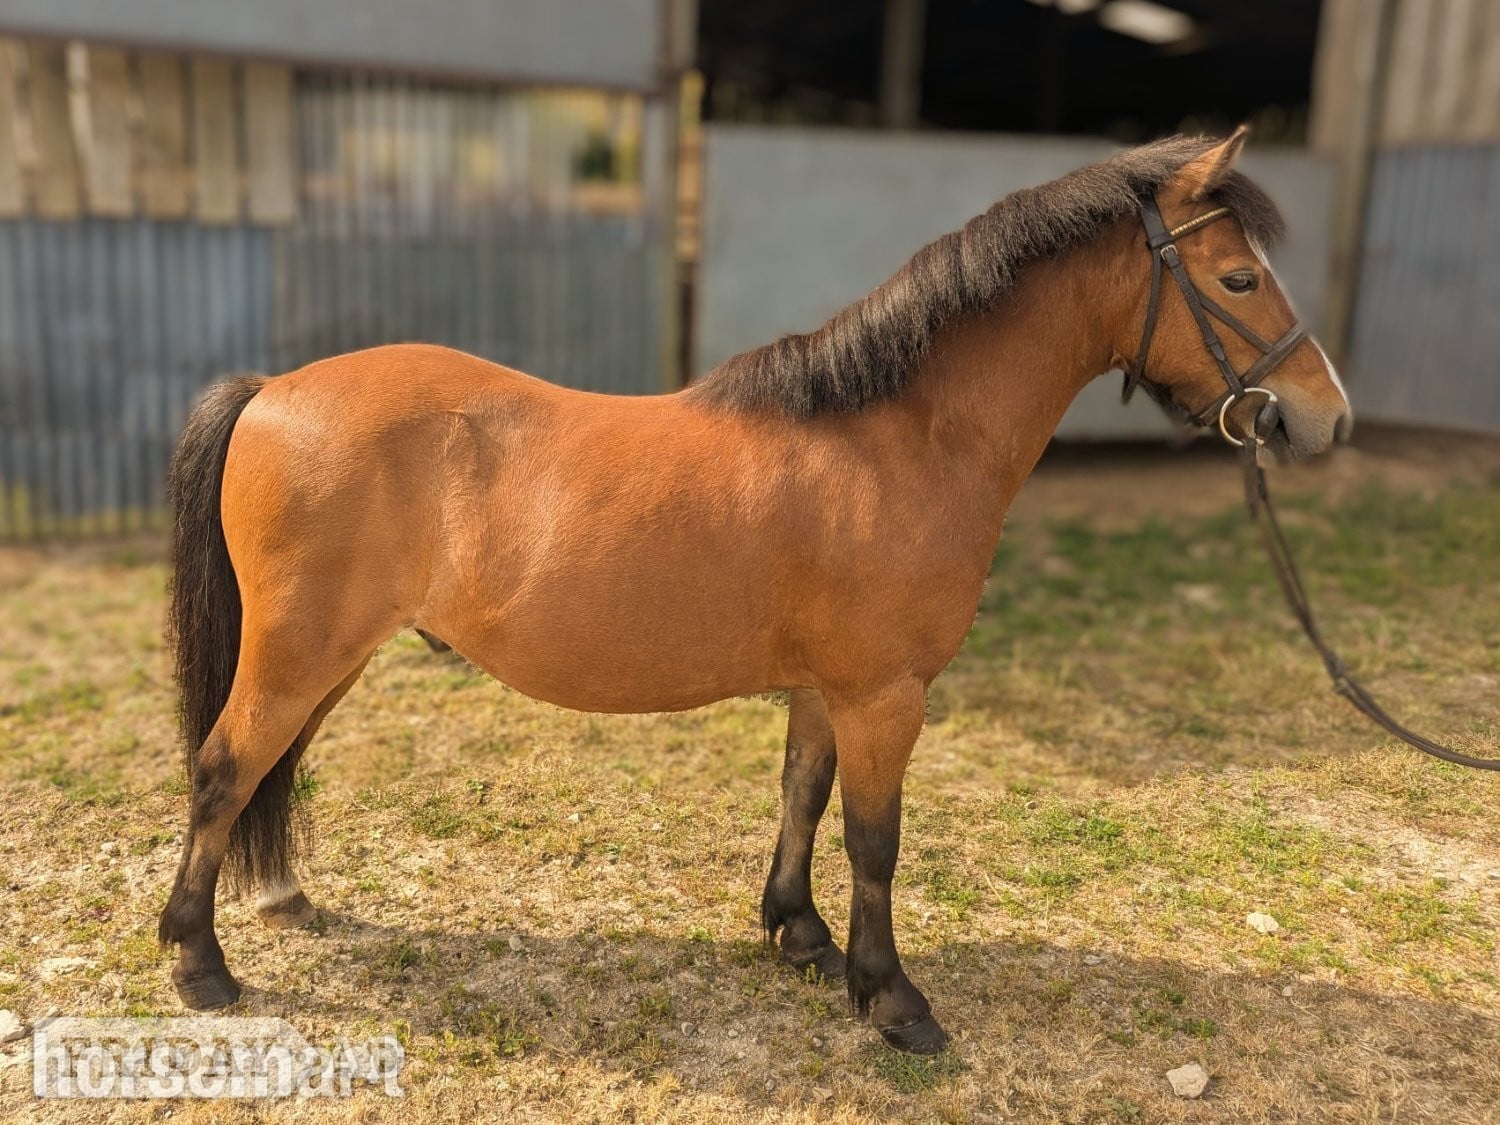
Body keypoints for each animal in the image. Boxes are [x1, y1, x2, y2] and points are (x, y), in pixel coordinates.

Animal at [157, 127, 1351, 1055]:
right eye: (1240, 280)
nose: (1323, 418)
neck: (898, 439)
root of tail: (272, 389)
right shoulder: (886, 695)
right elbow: (877, 840)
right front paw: (893, 999)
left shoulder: (829, 689)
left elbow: (802, 797)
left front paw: (800, 936)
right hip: (298, 650)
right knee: (224, 769)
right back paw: (199, 961)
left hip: (330, 656)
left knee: (268, 770)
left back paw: (276, 901)